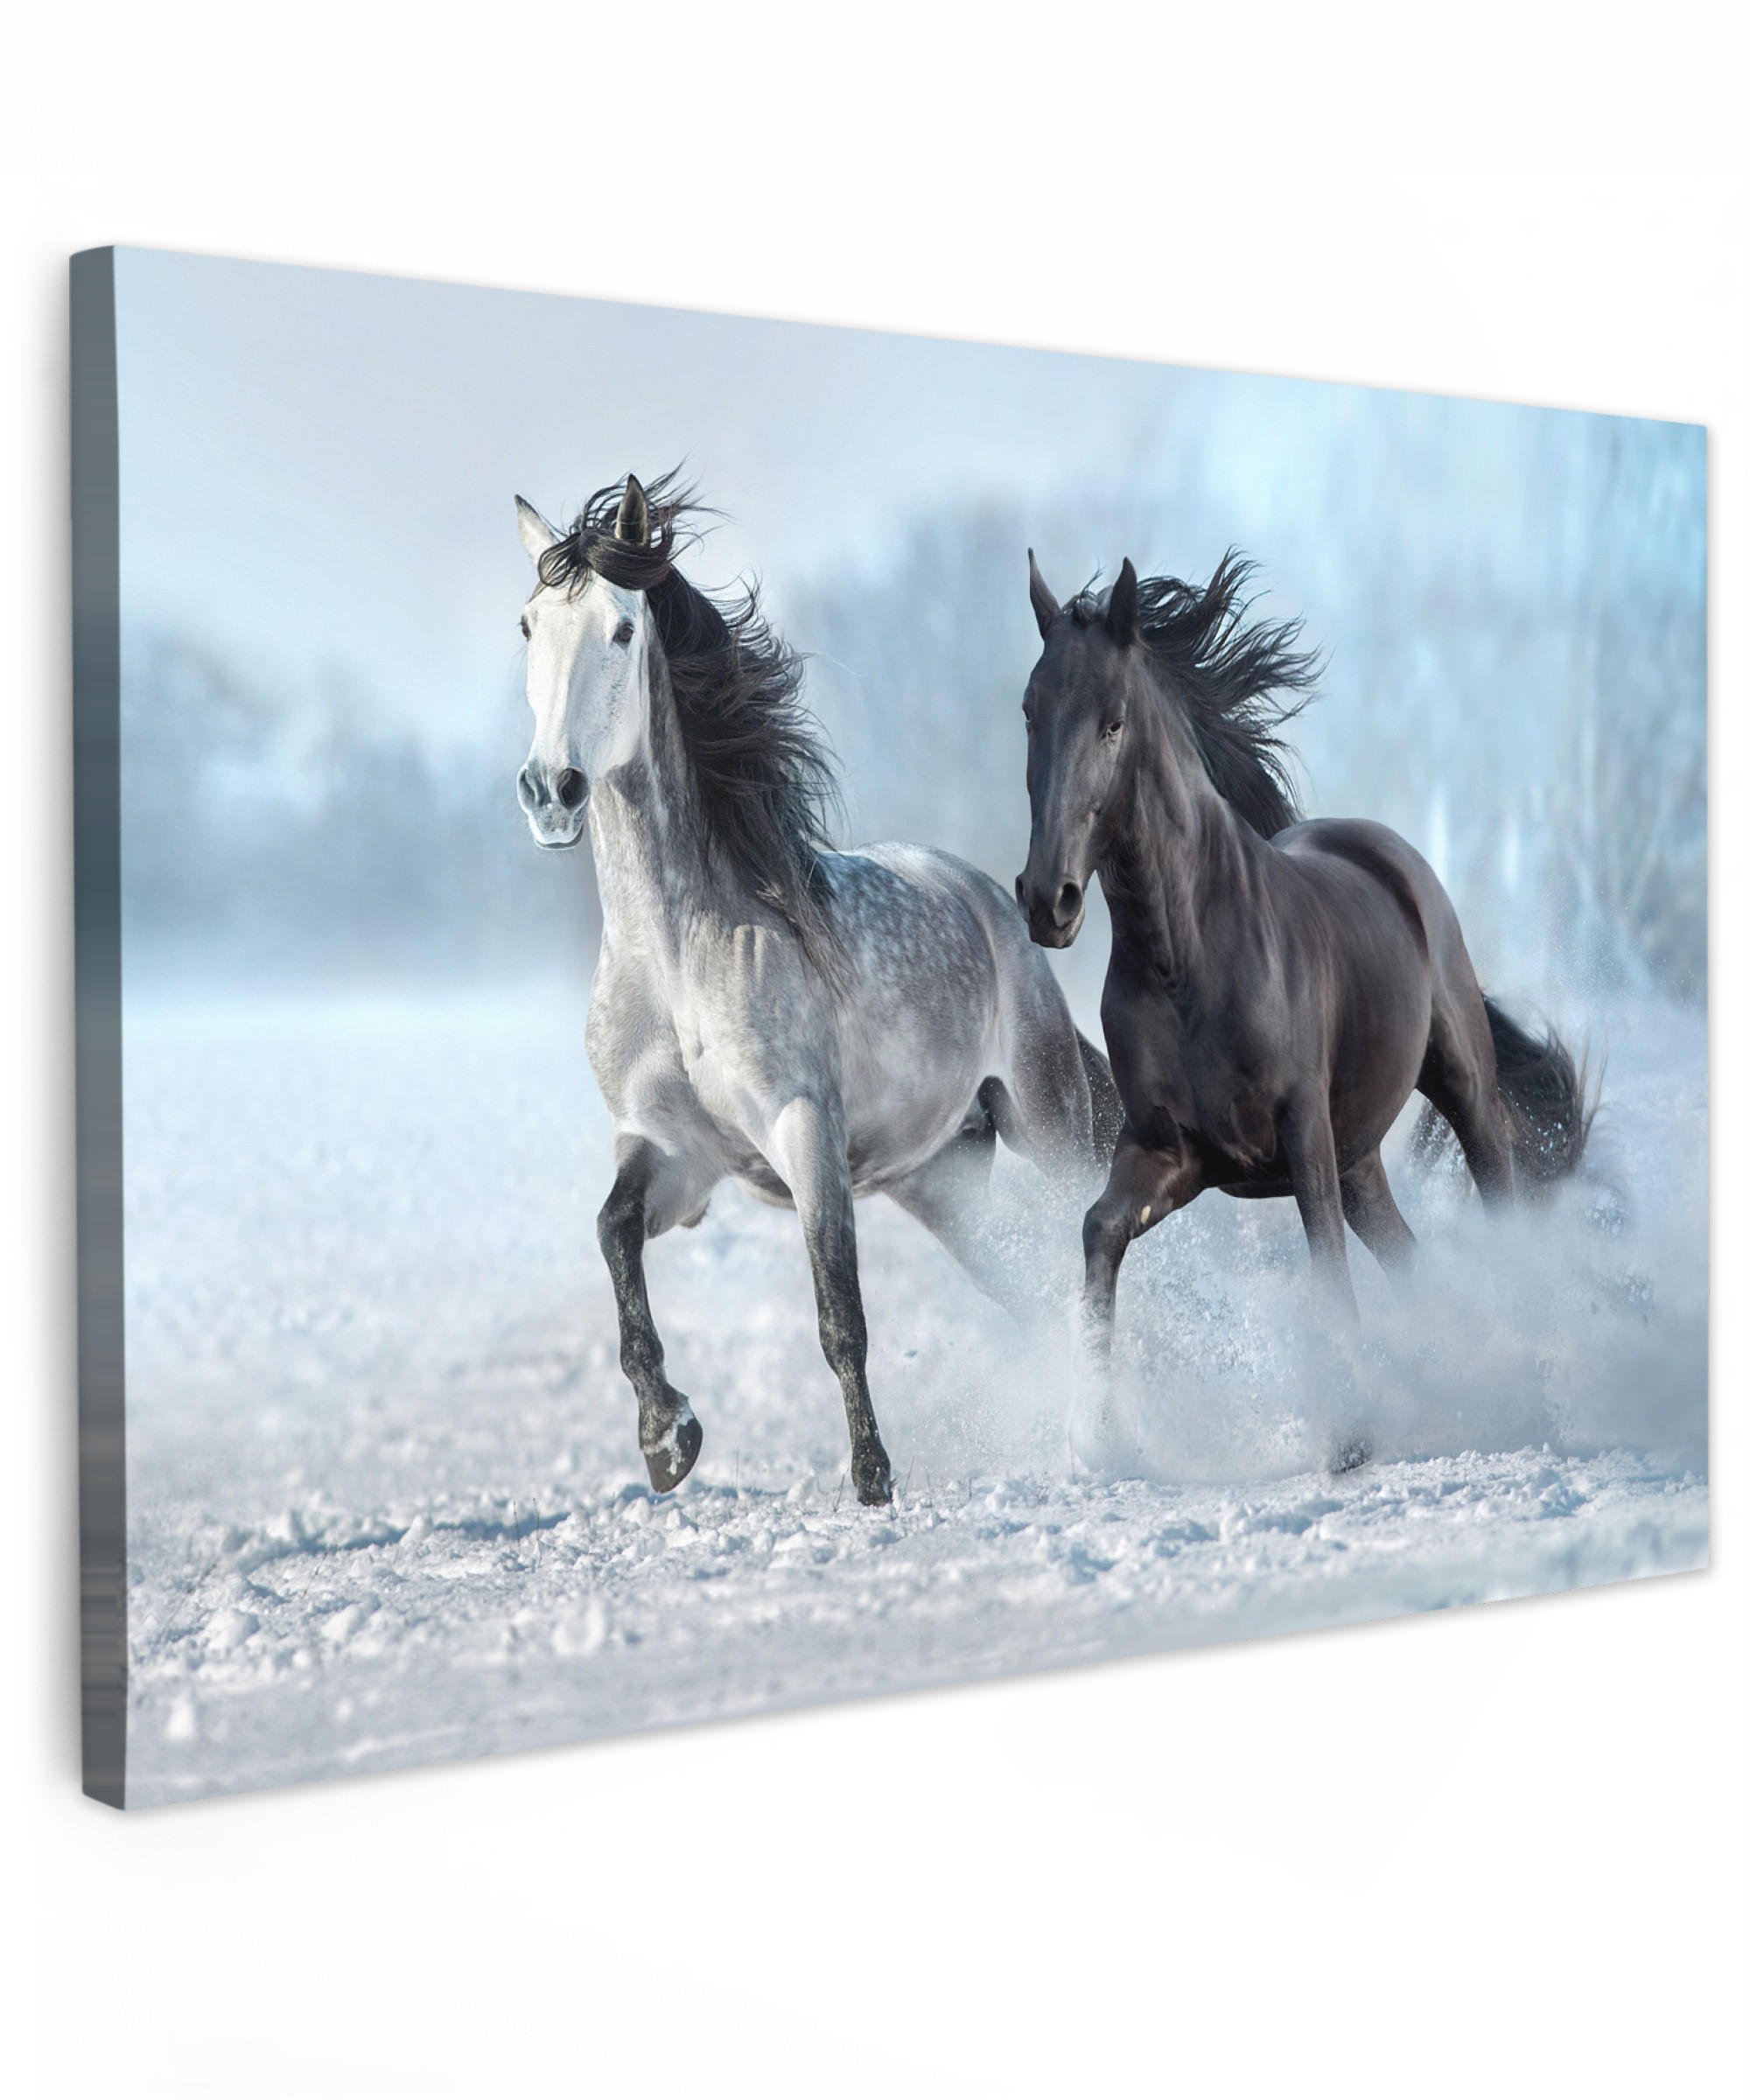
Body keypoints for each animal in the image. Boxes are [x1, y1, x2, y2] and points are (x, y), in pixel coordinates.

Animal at [513, 472, 1120, 1506]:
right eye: (527, 625)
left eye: (623, 630)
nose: (551, 790)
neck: (676, 958)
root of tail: (993, 903)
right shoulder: (672, 1153)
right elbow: (612, 1235)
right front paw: (667, 1439)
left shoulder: (805, 1133)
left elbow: (840, 1313)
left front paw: (871, 1479)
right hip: (938, 1180)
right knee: (1030, 1285)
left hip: (1045, 1122)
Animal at [1014, 548, 1592, 1468]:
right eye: (1030, 712)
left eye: (1112, 722)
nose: (1049, 901)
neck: (1188, 959)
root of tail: (1388, 853)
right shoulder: (1172, 1151)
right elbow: (1099, 1231)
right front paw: (1096, 1437)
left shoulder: (1300, 1133)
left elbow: (1325, 1268)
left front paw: (1350, 1436)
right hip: (1360, 1158)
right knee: (1409, 1257)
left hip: (1457, 1086)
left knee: (1498, 1197)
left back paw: (1525, 1391)